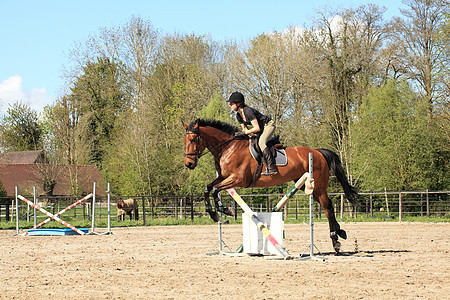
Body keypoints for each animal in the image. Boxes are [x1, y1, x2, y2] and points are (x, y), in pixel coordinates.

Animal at [183, 118, 358, 253]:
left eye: (192, 140)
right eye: (185, 141)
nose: (189, 164)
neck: (228, 148)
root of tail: (317, 152)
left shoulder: (238, 179)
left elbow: (215, 189)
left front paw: (224, 210)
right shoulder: (224, 177)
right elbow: (208, 188)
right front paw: (215, 213)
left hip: (319, 186)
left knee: (327, 207)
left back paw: (335, 240)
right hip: (304, 185)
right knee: (328, 205)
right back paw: (340, 233)